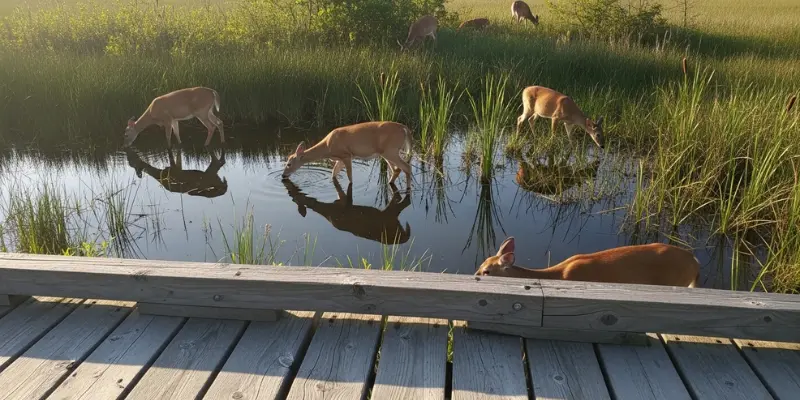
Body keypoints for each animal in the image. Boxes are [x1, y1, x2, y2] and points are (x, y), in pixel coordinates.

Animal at [281, 121, 413, 187]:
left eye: (289, 164)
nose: (283, 176)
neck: (327, 146)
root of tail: (405, 128)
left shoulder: (346, 155)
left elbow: (350, 177)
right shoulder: (339, 159)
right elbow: (333, 174)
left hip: (390, 150)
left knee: (406, 167)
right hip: (387, 153)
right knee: (397, 169)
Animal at [283, 178, 412, 244]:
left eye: (293, 197)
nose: (288, 189)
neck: (327, 211)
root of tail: (404, 237)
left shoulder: (344, 207)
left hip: (390, 218)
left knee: (404, 202)